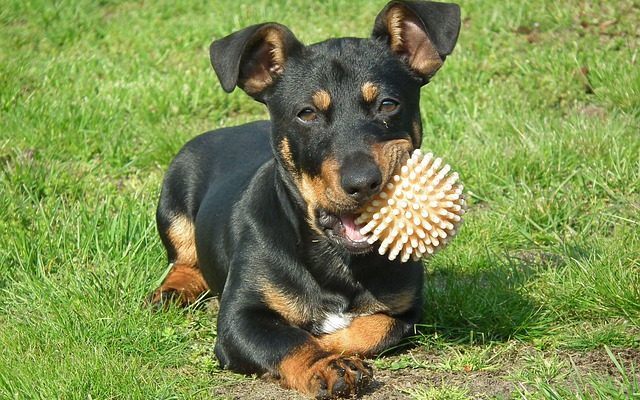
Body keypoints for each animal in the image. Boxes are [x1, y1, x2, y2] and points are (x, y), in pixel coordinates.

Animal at [150, 1, 460, 396]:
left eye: (388, 104)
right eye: (307, 113)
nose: (363, 183)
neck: (339, 260)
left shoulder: (404, 311)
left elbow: (368, 329)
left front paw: (330, 344)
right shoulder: (240, 318)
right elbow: (289, 340)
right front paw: (326, 365)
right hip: (173, 197)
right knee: (184, 260)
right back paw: (173, 291)